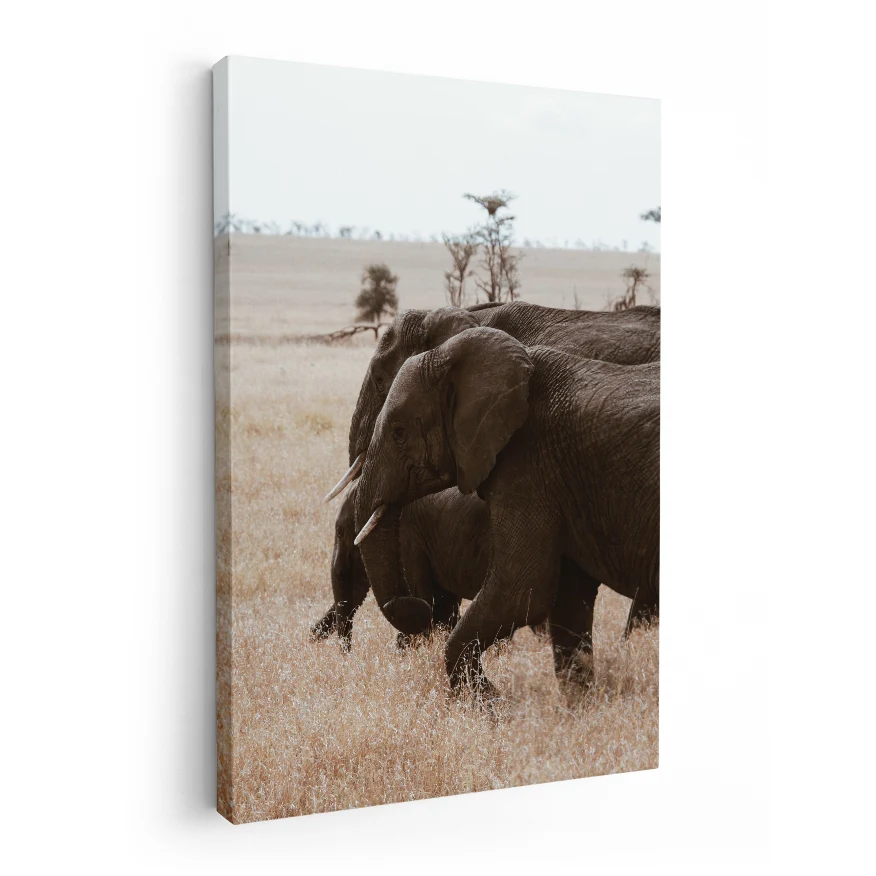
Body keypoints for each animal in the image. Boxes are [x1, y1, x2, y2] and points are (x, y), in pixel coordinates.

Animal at [351, 326, 659, 698]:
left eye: (398, 433)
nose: (416, 605)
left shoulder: (529, 464)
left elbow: (523, 590)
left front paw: (490, 703)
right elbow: (568, 600)